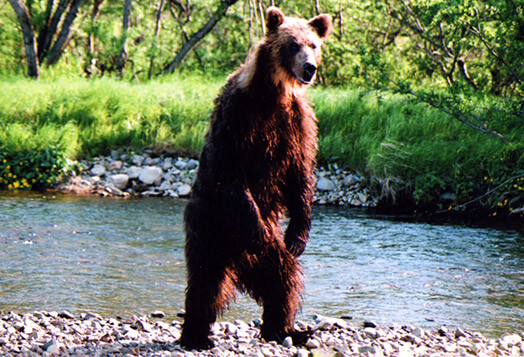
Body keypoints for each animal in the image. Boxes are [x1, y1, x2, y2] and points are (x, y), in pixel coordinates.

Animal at [180, 6, 332, 350]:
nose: (309, 68)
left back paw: (286, 329)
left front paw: (298, 236)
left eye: (313, 44)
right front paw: (261, 233)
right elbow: (233, 173)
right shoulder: (239, 118)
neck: (275, 92)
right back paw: (195, 335)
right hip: (211, 222)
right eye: (292, 44)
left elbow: (301, 175)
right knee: (206, 277)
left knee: (282, 275)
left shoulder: (298, 124)